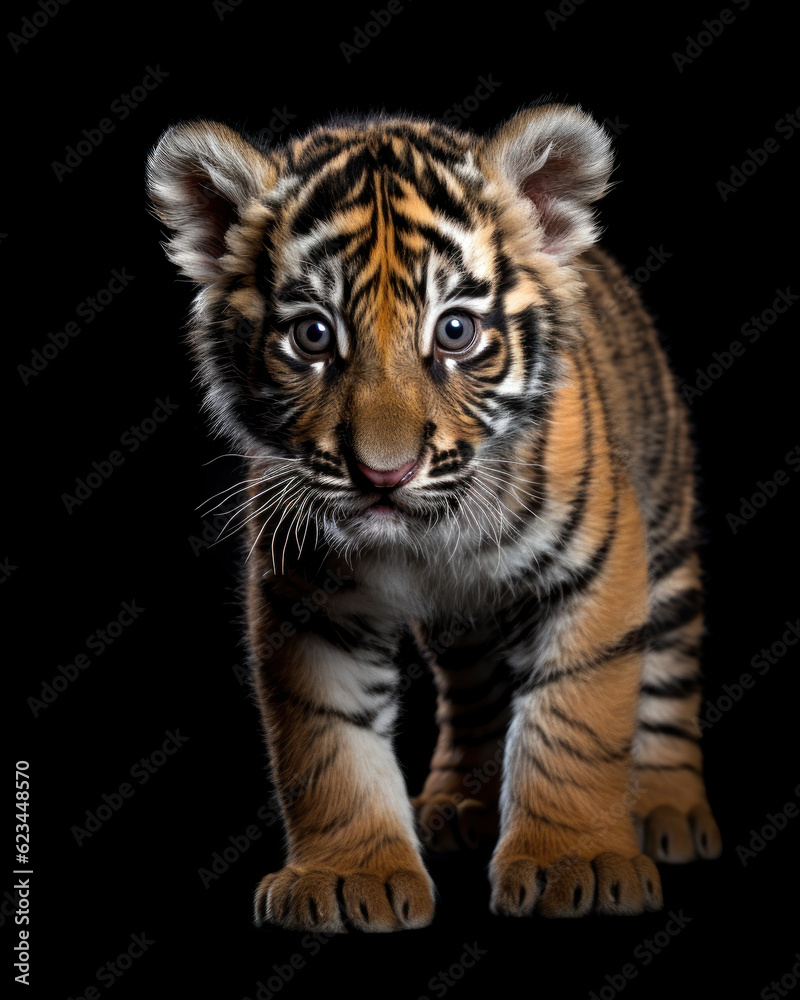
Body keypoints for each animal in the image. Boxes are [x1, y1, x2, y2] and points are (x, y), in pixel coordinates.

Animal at [147, 102, 722, 931]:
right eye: (313, 336)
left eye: (454, 331)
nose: (383, 474)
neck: (429, 537)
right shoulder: (308, 601)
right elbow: (326, 742)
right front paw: (348, 876)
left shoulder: (598, 571)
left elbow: (575, 718)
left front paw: (573, 862)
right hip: (465, 629)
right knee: (476, 697)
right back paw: (458, 807)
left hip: (668, 539)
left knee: (669, 677)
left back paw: (669, 812)